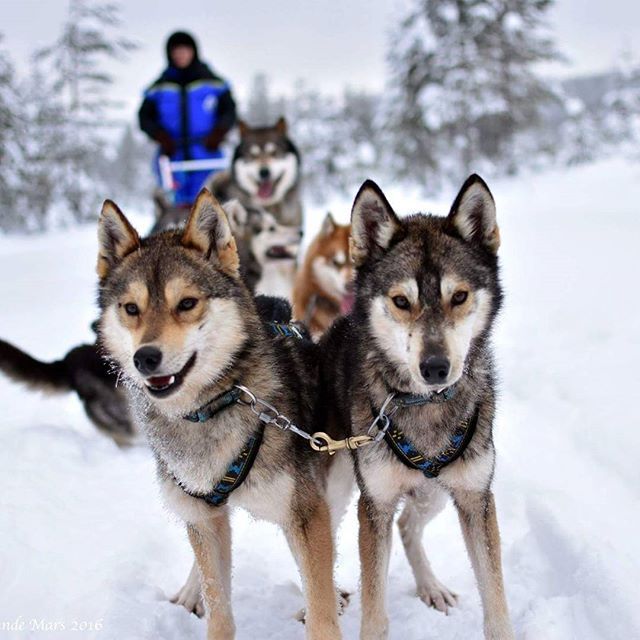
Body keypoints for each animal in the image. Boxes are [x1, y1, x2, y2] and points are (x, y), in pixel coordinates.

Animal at [95, 190, 344, 640]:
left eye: (187, 303)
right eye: (131, 308)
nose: (145, 358)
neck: (213, 407)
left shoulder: (306, 512)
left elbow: (320, 607)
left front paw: (325, 605)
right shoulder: (204, 518)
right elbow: (219, 606)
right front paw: (204, 599)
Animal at [322, 176, 512, 640]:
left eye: (459, 296)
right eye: (401, 301)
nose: (435, 367)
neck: (426, 406)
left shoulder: (476, 498)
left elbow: (496, 601)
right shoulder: (374, 505)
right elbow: (374, 611)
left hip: (435, 494)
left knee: (408, 527)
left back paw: (431, 586)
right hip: (337, 487)